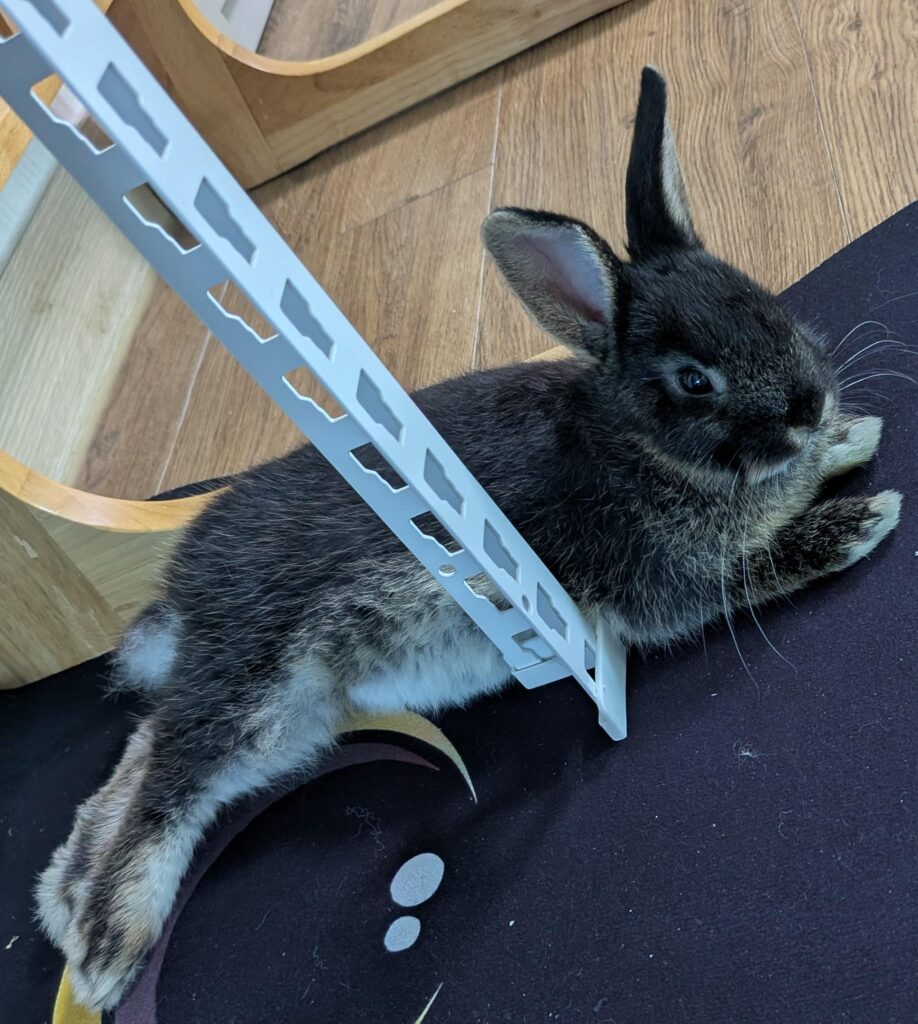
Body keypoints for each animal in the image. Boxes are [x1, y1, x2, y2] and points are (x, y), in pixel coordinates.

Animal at [35, 67, 901, 1011]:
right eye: (692, 381)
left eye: (761, 298)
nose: (811, 404)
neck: (636, 445)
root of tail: (182, 596)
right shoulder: (667, 587)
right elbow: (761, 566)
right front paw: (864, 517)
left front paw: (851, 439)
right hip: (259, 690)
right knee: (171, 777)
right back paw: (107, 945)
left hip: (297, 722)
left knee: (144, 752)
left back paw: (65, 899)